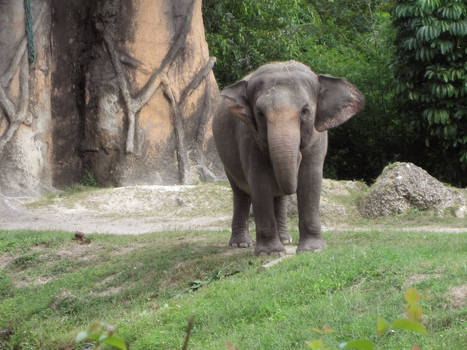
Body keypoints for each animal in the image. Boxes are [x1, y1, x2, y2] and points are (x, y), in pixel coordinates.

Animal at [213, 61, 366, 256]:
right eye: (259, 113)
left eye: (305, 111)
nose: (298, 155)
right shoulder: (248, 136)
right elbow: (259, 181)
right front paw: (270, 253)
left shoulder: (318, 137)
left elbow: (310, 179)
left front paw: (312, 249)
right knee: (241, 193)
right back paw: (241, 245)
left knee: (279, 198)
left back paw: (286, 240)